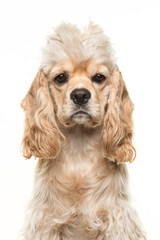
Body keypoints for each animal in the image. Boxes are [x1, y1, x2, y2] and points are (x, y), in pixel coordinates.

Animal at [20, 22, 146, 240]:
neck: (79, 146)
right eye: (61, 77)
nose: (80, 95)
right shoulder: (46, 221)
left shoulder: (116, 220)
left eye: (99, 77)